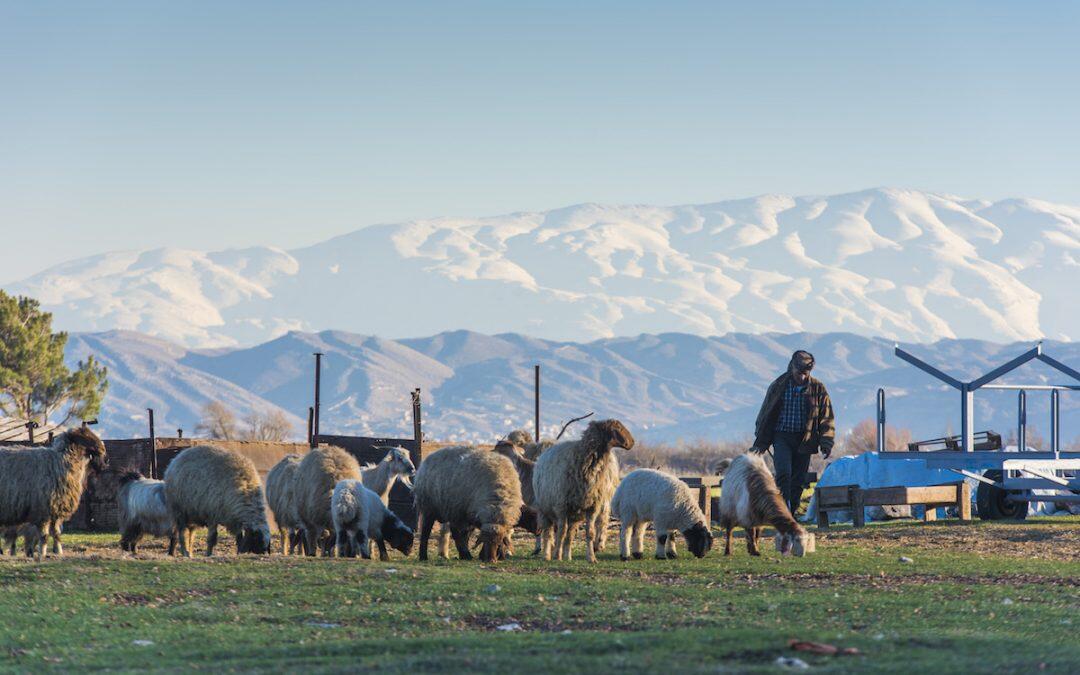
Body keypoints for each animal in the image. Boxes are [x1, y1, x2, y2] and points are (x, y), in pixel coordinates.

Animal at [0, 425, 106, 557]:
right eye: (86, 436)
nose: (106, 460)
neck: (61, 461)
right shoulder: (43, 510)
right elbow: (44, 536)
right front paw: (42, 554)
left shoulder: (56, 510)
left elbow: (56, 534)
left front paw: (58, 552)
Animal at [531, 419, 630, 561]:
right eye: (617, 428)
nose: (632, 442)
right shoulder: (561, 506)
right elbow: (561, 532)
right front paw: (557, 555)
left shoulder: (592, 506)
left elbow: (589, 533)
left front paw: (591, 558)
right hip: (545, 510)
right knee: (548, 533)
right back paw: (547, 555)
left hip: (575, 514)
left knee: (570, 533)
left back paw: (568, 556)